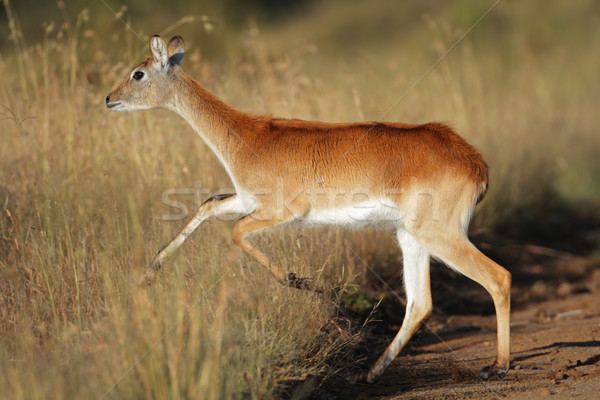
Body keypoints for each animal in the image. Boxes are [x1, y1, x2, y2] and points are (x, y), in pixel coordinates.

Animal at [106, 36, 510, 382]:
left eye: (138, 72)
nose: (109, 98)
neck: (247, 138)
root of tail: (476, 164)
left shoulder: (283, 209)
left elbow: (235, 231)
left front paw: (300, 281)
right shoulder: (247, 199)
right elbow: (207, 205)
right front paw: (150, 272)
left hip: (436, 233)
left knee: (498, 278)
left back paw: (498, 367)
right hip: (409, 235)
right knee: (420, 303)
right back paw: (369, 373)